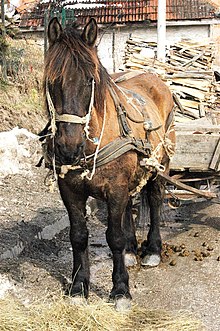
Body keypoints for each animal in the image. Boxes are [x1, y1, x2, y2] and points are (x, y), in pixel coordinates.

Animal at [41, 16, 175, 310]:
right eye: (51, 81)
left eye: (90, 80)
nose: (68, 147)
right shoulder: (70, 190)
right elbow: (78, 235)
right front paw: (79, 286)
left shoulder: (115, 189)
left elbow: (113, 237)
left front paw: (121, 289)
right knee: (129, 207)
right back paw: (131, 250)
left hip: (160, 165)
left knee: (155, 200)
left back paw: (152, 250)